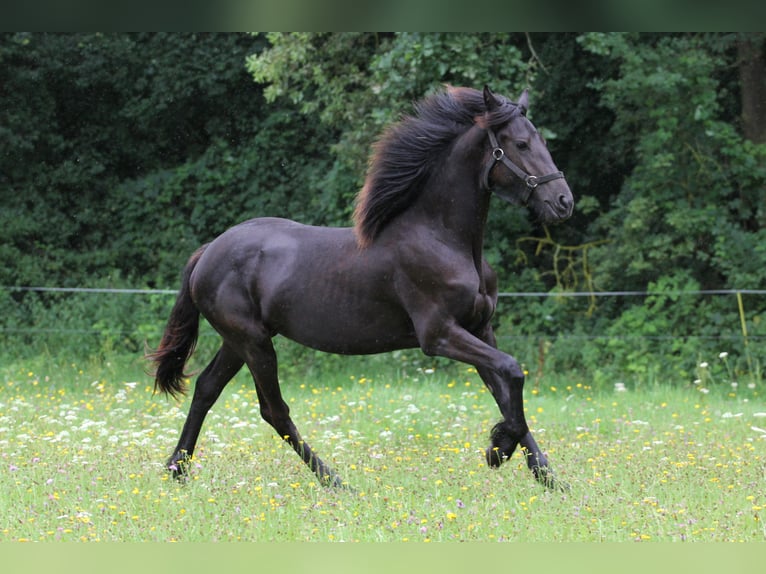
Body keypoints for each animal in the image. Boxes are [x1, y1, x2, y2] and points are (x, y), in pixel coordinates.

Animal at [150, 85, 572, 490]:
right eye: (520, 144)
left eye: (541, 140)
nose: (563, 201)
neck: (442, 238)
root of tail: (208, 252)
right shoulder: (439, 335)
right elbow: (513, 372)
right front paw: (498, 450)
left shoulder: (480, 329)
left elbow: (505, 391)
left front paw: (550, 479)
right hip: (253, 342)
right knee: (274, 411)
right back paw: (335, 482)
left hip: (238, 342)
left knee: (206, 388)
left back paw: (178, 470)